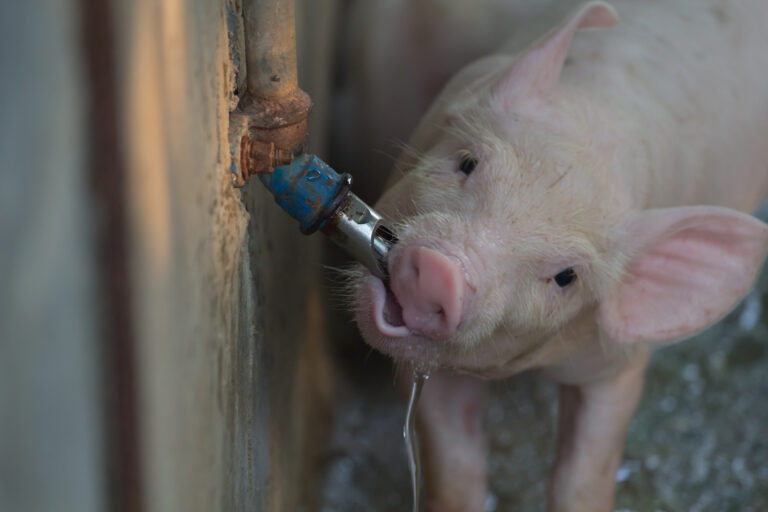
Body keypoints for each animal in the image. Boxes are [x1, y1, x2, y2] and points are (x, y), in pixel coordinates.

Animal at [347, 1, 768, 511]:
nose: (439, 271)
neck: (606, 117)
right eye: (467, 162)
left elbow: (582, 472)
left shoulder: (617, 362)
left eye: (566, 276)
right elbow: (455, 466)